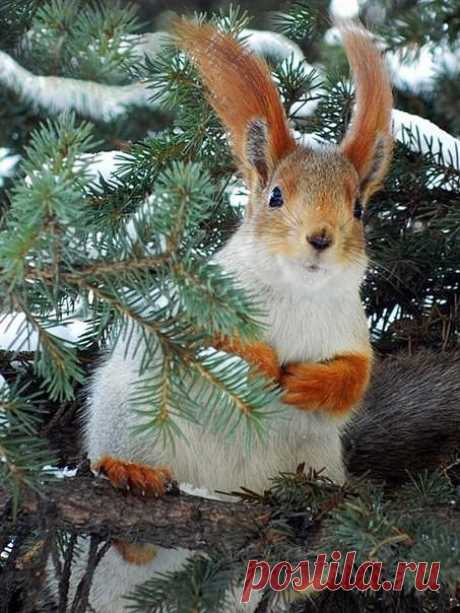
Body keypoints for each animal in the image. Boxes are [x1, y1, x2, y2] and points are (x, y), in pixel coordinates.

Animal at [71, 19, 392, 612]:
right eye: (275, 196)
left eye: (359, 209)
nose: (321, 238)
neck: (295, 295)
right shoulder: (194, 308)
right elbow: (207, 348)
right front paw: (260, 366)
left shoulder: (351, 334)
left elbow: (354, 381)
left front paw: (307, 383)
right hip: (127, 417)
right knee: (130, 540)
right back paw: (132, 478)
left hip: (314, 464)